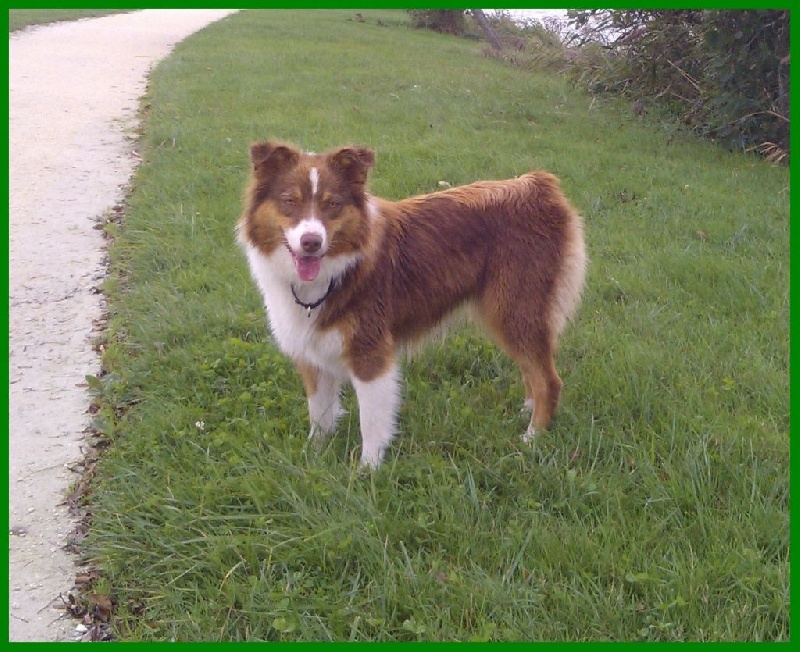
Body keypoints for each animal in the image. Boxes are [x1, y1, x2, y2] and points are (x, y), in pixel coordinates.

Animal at [238, 141, 588, 468]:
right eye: (289, 201)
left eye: (332, 204)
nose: (311, 242)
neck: (336, 271)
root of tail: (538, 184)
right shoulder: (312, 350)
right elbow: (319, 413)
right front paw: (313, 457)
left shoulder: (371, 352)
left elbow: (372, 421)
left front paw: (367, 471)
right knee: (532, 370)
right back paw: (527, 412)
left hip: (514, 309)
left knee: (549, 380)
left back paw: (532, 438)